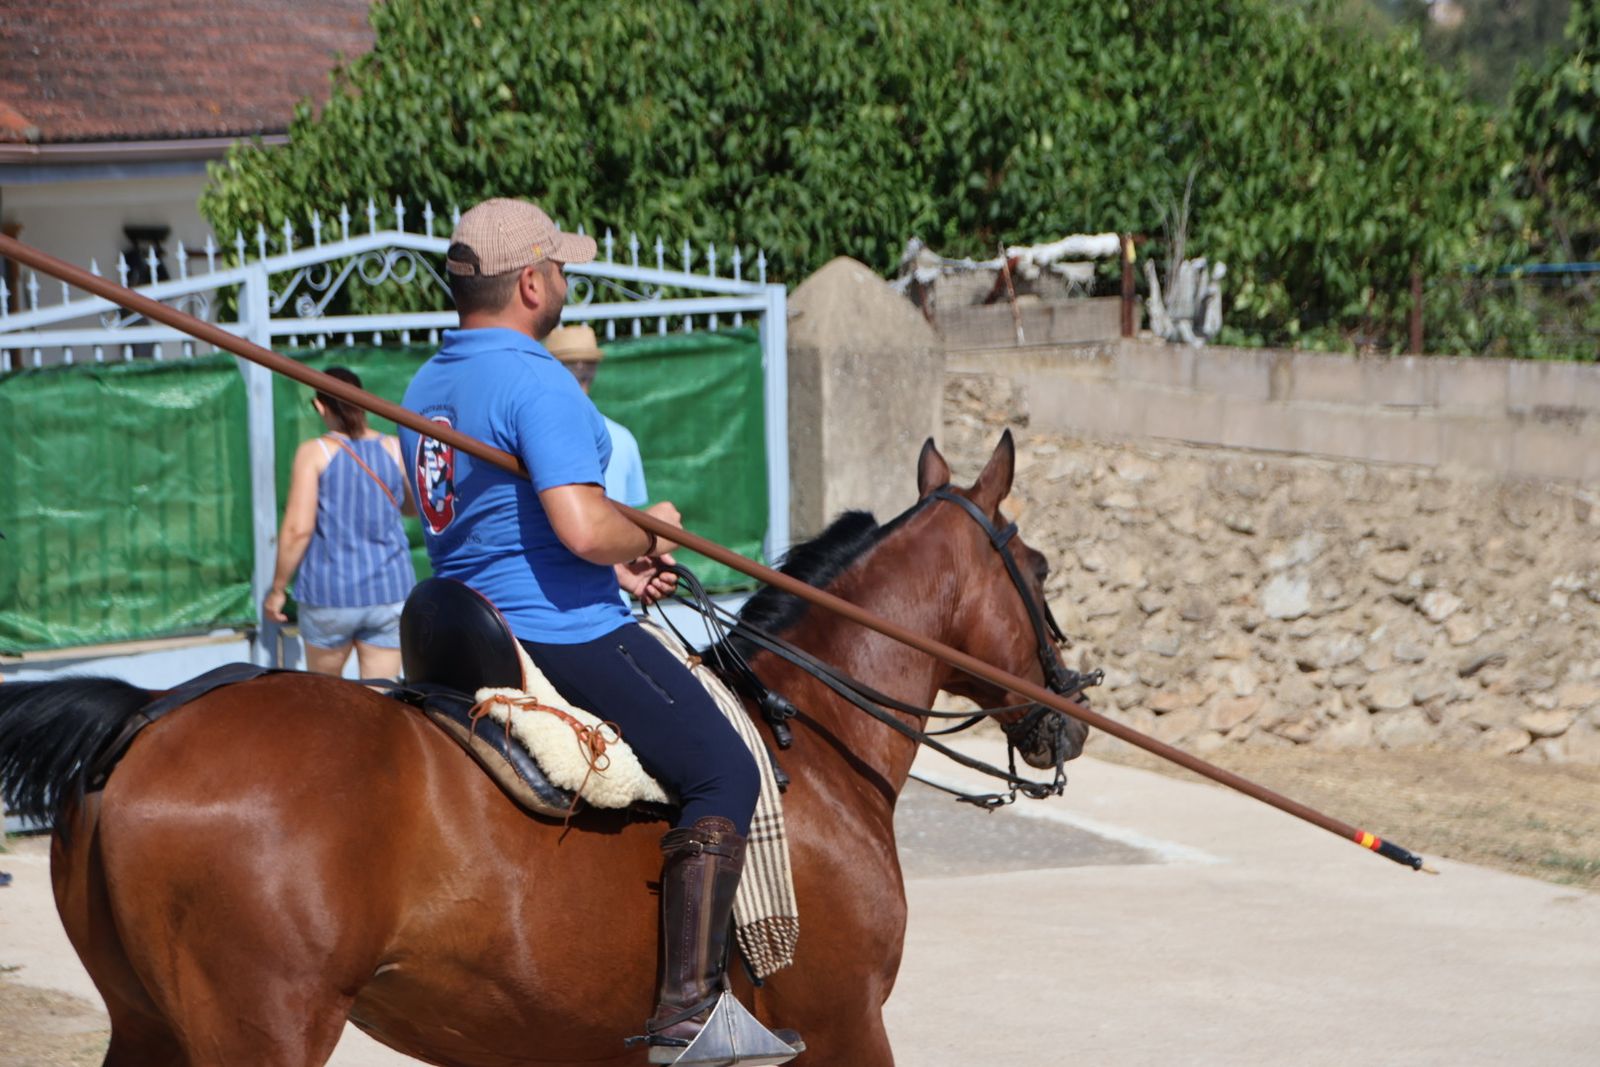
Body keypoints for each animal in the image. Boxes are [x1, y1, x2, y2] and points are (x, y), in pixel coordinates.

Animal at [0, 432, 1087, 1067]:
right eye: (1034, 566)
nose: (1070, 709)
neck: (807, 731)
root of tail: (151, 716)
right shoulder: (846, 1024)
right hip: (258, 1030)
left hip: (148, 1026)